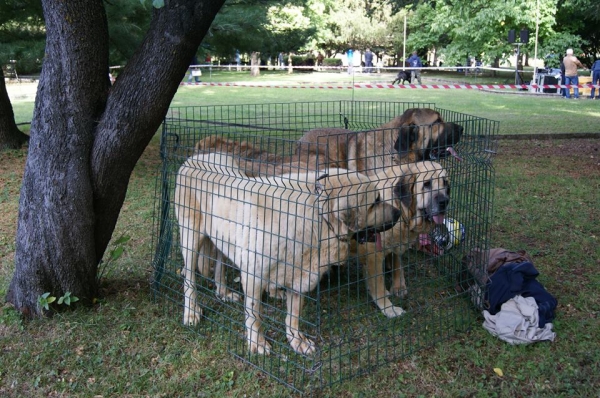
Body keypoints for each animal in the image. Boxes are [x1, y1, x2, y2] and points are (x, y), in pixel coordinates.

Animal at [176, 152, 400, 354]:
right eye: (375, 201)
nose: (399, 213)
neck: (317, 218)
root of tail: (192, 158)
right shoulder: (253, 276)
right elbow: (255, 315)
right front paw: (257, 342)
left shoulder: (299, 276)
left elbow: (294, 315)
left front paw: (296, 340)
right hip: (190, 238)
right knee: (189, 280)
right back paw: (191, 313)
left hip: (222, 238)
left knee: (220, 266)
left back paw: (223, 293)